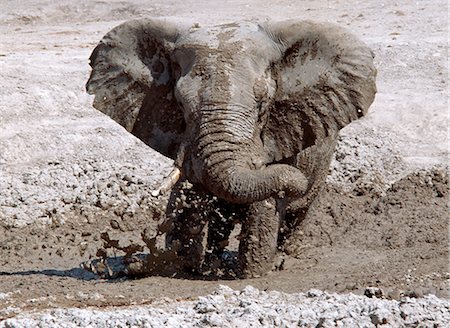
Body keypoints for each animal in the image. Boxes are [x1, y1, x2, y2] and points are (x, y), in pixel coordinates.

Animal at [85, 18, 376, 278]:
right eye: (180, 103)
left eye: (263, 103)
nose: (296, 183)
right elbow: (188, 196)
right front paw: (182, 267)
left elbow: (262, 210)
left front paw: (251, 274)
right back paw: (216, 261)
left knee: (300, 214)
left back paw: (284, 259)